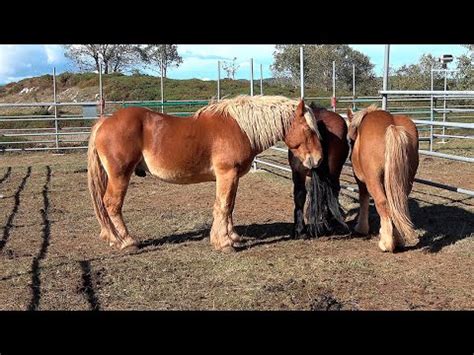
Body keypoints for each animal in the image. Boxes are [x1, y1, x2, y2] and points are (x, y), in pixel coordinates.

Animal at [88, 95, 326, 253]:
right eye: (308, 129)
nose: (317, 160)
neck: (241, 128)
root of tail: (105, 121)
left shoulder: (232, 177)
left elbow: (229, 206)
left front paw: (232, 237)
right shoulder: (226, 174)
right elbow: (223, 205)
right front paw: (224, 243)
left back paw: (113, 238)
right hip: (120, 175)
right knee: (111, 204)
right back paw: (126, 242)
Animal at [346, 104, 420, 252]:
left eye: (351, 140)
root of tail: (392, 126)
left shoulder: (361, 181)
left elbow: (363, 200)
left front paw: (361, 228)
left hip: (373, 180)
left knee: (383, 203)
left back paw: (386, 243)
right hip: (403, 180)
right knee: (397, 204)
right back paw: (398, 240)